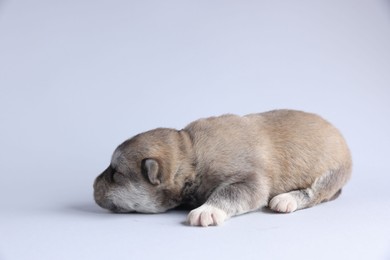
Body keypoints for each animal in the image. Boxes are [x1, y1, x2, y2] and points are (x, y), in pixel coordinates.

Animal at [93, 108, 352, 226]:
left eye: (116, 173)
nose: (93, 185)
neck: (190, 154)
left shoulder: (249, 179)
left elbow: (230, 192)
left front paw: (206, 210)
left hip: (330, 172)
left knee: (314, 193)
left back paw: (286, 199)